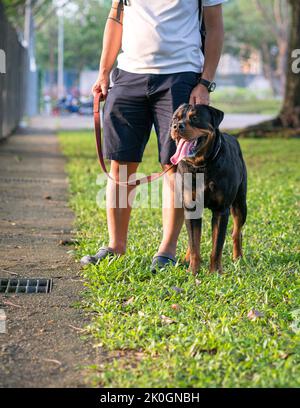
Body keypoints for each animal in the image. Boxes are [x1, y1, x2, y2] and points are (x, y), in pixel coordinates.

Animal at [170, 103, 247, 274]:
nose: (177, 126)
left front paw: (215, 272)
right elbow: (194, 243)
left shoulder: (221, 210)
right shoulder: (190, 207)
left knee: (236, 232)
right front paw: (193, 271)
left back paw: (238, 257)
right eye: (175, 118)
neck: (201, 165)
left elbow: (217, 246)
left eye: (195, 118)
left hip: (240, 203)